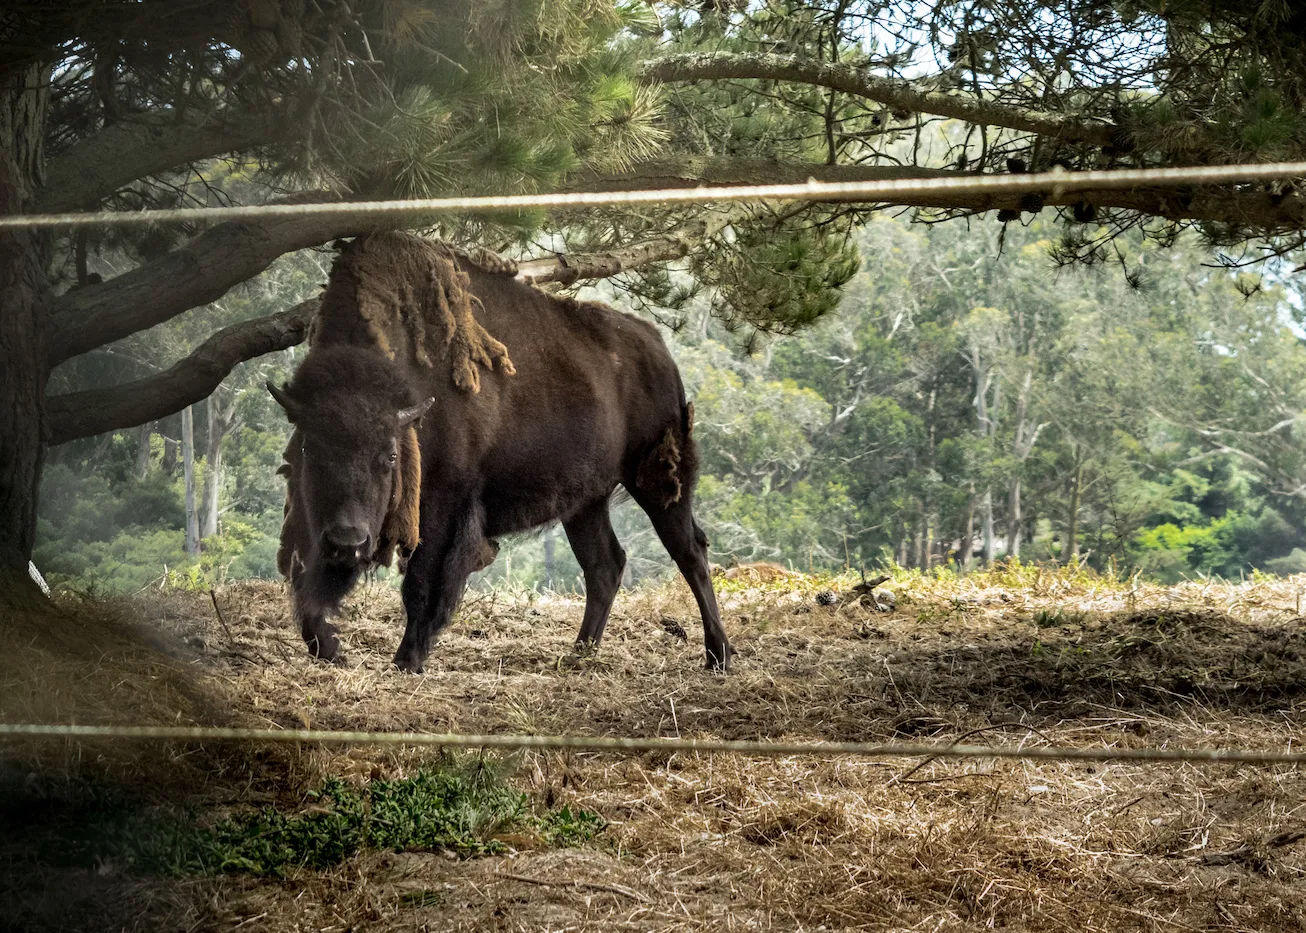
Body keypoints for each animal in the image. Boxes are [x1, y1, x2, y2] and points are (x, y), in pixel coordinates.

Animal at [270, 232, 732, 673]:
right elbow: (303, 578)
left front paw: (407, 660)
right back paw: (579, 656)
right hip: (585, 501)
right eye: (309, 448)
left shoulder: (446, 505)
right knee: (605, 565)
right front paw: (329, 649)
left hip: (659, 479)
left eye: (389, 456)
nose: (347, 541)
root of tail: (657, 347)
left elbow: (423, 583)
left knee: (690, 551)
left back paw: (719, 655)